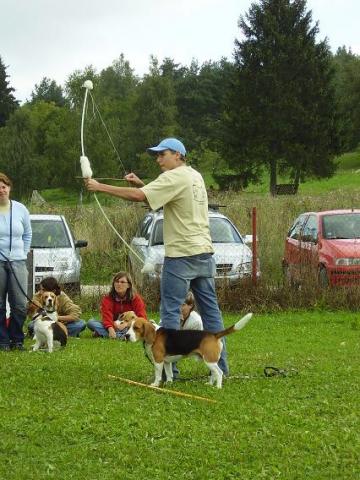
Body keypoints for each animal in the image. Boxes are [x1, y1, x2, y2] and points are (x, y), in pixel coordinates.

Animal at [119, 312, 252, 386]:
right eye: (128, 327)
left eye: (136, 328)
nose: (126, 336)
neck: (155, 334)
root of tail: (214, 335)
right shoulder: (166, 362)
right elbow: (169, 374)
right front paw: (169, 383)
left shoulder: (158, 361)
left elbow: (158, 374)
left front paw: (155, 384)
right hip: (209, 361)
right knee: (214, 373)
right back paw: (209, 384)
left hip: (209, 360)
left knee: (219, 373)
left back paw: (218, 387)